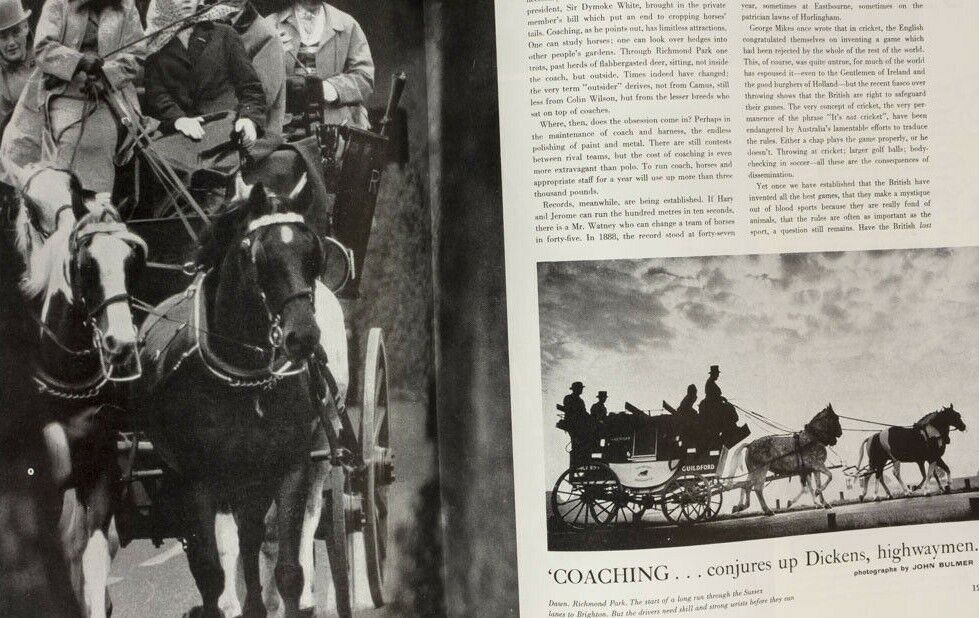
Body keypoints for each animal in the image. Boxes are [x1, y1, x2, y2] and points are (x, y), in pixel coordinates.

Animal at [137, 184, 326, 616]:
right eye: (257, 256)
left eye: (313, 253)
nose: (304, 336)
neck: (245, 383)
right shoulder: (198, 482)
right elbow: (210, 572)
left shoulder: (289, 469)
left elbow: (288, 571)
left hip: (250, 482)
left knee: (251, 538)